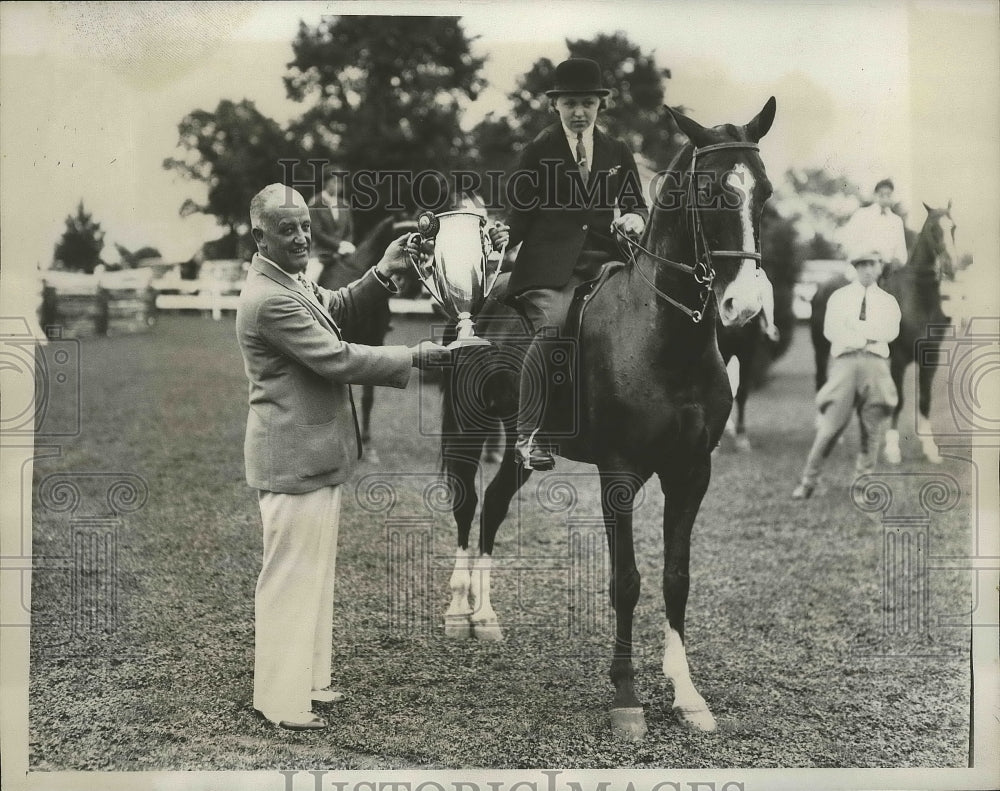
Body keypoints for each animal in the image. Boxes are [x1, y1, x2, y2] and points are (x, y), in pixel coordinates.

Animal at [436, 99, 772, 744]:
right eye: (711, 191)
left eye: (763, 191)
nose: (744, 306)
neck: (664, 336)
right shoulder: (618, 474)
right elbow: (627, 581)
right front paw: (627, 698)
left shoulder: (692, 473)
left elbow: (676, 578)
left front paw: (688, 697)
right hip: (467, 430)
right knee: (466, 505)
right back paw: (459, 609)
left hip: (521, 448)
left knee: (493, 505)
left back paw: (486, 617)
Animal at [808, 204, 956, 464]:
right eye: (933, 228)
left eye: (954, 227)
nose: (950, 265)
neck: (918, 297)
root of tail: (822, 287)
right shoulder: (899, 359)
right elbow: (899, 401)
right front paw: (893, 449)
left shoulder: (931, 357)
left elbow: (925, 400)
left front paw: (930, 449)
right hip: (820, 348)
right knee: (820, 380)